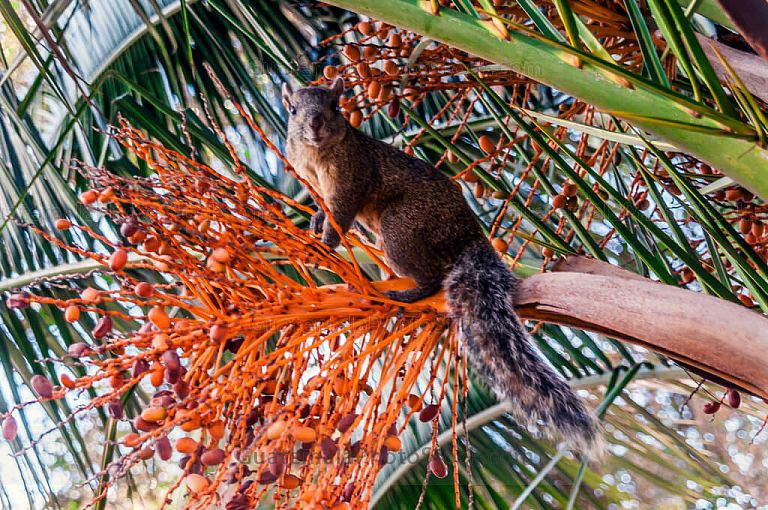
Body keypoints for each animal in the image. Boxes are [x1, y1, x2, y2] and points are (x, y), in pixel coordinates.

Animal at [282, 78, 602, 457]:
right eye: (293, 110)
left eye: (335, 106)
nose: (315, 123)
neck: (316, 155)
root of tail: (469, 234)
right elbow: (323, 208)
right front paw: (316, 221)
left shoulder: (351, 176)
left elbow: (342, 213)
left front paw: (326, 243)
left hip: (400, 228)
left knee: (433, 278)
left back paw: (408, 294)